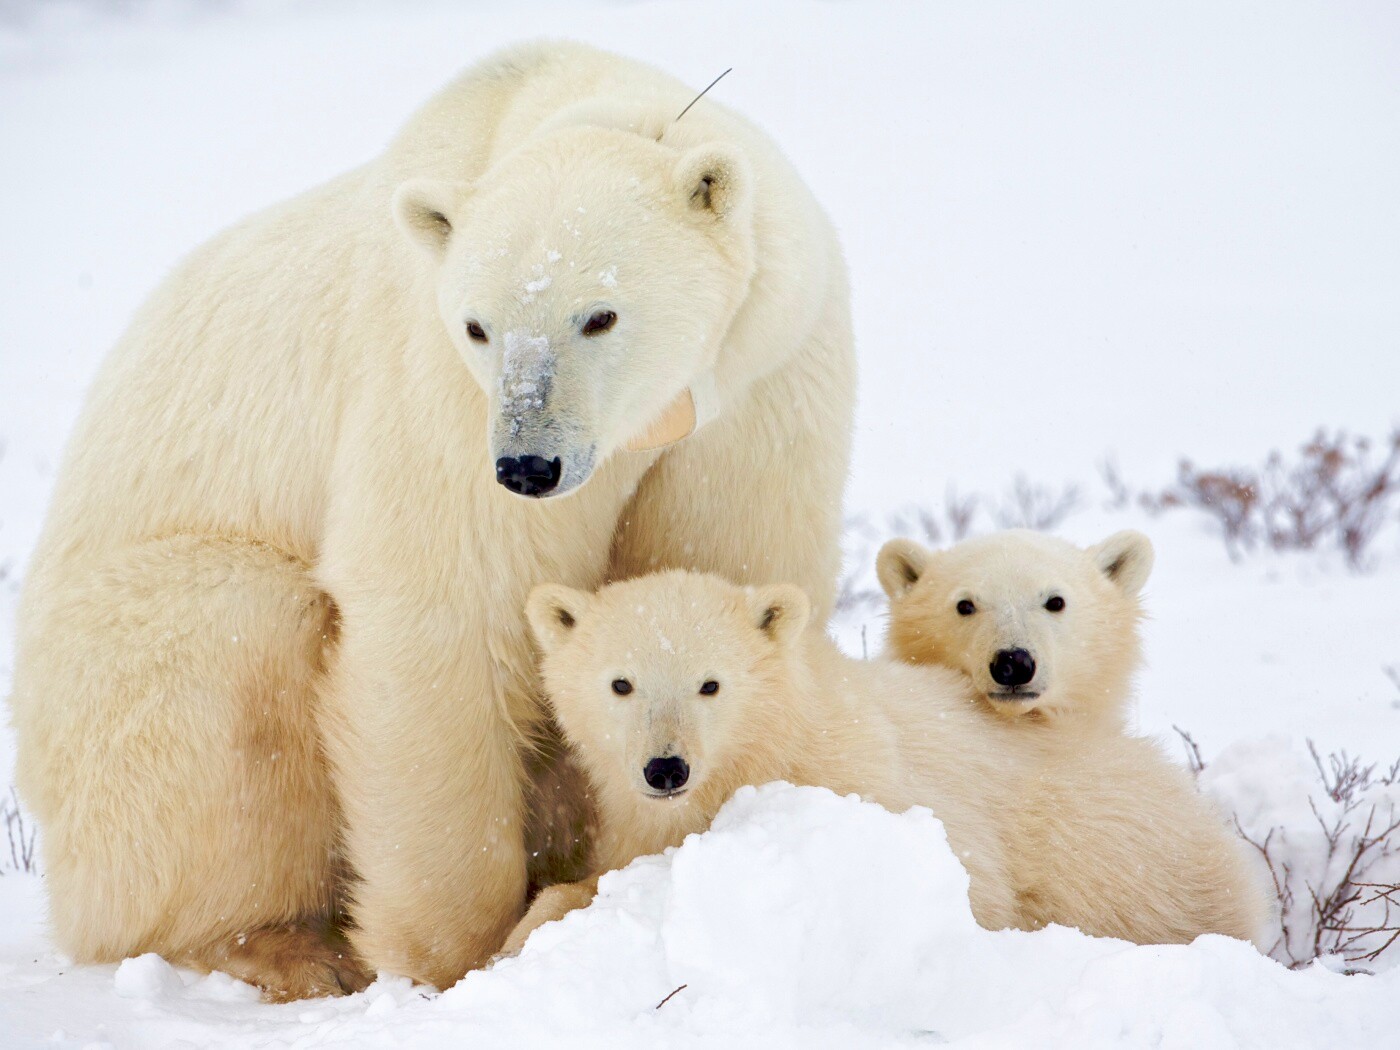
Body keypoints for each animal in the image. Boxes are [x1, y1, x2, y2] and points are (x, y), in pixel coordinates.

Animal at [10, 43, 851, 1002]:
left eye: (600, 314)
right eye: (479, 325)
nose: (528, 465)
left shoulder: (760, 384)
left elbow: (722, 568)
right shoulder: (435, 386)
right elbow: (445, 607)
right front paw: (459, 954)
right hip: (113, 679)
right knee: (234, 654)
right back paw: (288, 947)